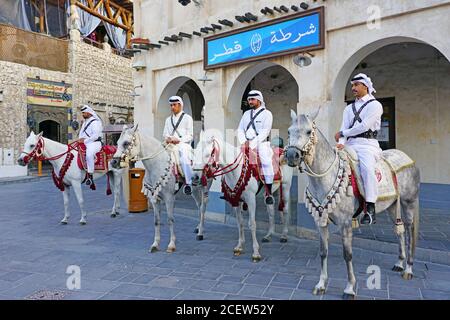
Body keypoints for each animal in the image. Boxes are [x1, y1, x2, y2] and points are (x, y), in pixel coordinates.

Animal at [192, 129, 292, 262]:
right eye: (195, 152)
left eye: (208, 155)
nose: (194, 177)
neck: (236, 170)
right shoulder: (236, 200)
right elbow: (240, 222)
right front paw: (239, 246)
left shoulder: (251, 200)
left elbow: (252, 224)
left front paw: (256, 253)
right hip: (269, 192)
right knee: (271, 209)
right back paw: (268, 235)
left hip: (285, 187)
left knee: (285, 210)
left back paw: (284, 235)